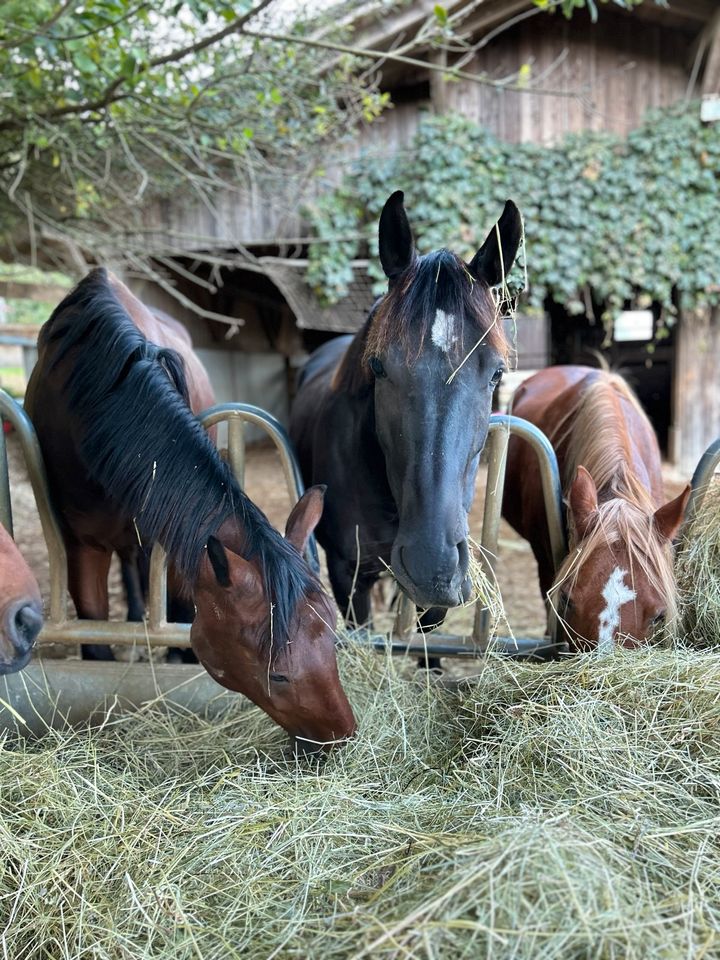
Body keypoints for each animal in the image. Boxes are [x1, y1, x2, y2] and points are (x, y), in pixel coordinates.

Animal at [23, 270, 356, 752]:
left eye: (333, 638)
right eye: (278, 674)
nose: (341, 736)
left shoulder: (169, 539)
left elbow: (178, 611)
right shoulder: (81, 545)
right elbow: (92, 627)